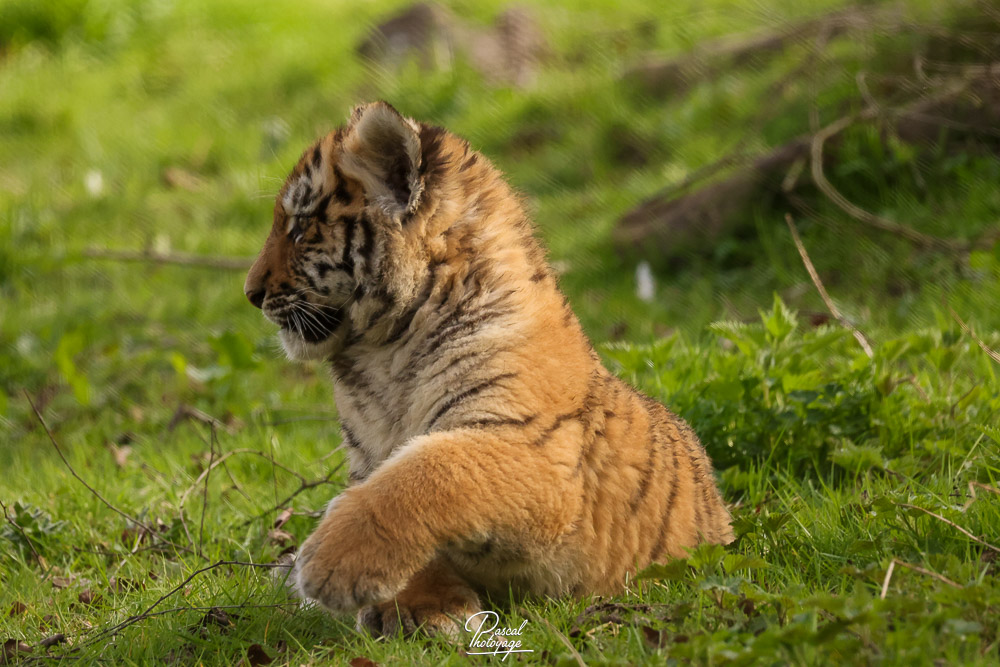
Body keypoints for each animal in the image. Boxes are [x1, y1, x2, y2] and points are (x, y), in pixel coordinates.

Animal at [244, 101, 733, 637]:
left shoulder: (532, 451)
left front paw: (332, 565)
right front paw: (416, 605)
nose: (250, 293)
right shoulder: (369, 458)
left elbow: (430, 469)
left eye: (300, 228)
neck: (382, 353)